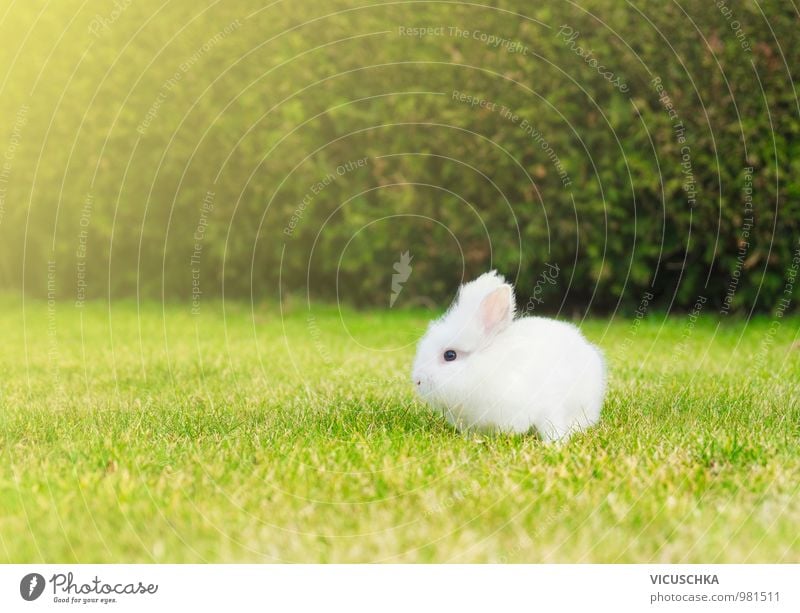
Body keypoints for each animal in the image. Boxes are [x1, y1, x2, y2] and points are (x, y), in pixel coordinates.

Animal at [412, 268, 608, 440]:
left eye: (450, 355)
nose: (417, 380)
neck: (487, 369)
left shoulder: (547, 405)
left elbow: (552, 425)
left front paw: (554, 444)